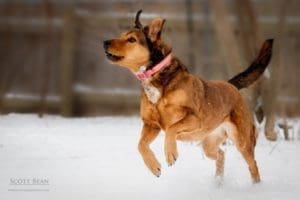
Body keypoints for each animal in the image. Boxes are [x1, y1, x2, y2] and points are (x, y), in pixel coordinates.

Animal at [103, 10, 274, 184]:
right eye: (121, 35)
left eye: (131, 39)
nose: (105, 42)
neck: (156, 77)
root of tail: (231, 85)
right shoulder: (151, 124)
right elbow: (140, 145)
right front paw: (154, 166)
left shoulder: (193, 117)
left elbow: (172, 128)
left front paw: (170, 153)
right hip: (209, 144)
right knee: (220, 155)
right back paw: (218, 182)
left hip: (242, 140)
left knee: (253, 165)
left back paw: (255, 186)